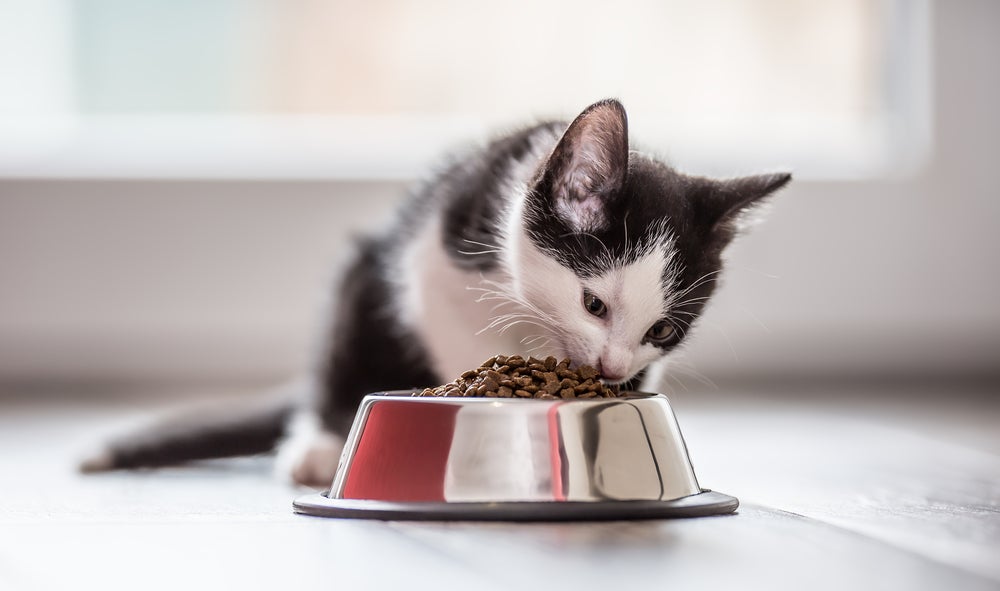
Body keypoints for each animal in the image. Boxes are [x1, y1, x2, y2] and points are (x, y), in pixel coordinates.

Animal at [82, 99, 792, 488]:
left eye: (663, 331)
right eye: (593, 304)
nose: (613, 368)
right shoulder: (433, 260)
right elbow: (456, 335)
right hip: (362, 279)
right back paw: (318, 445)